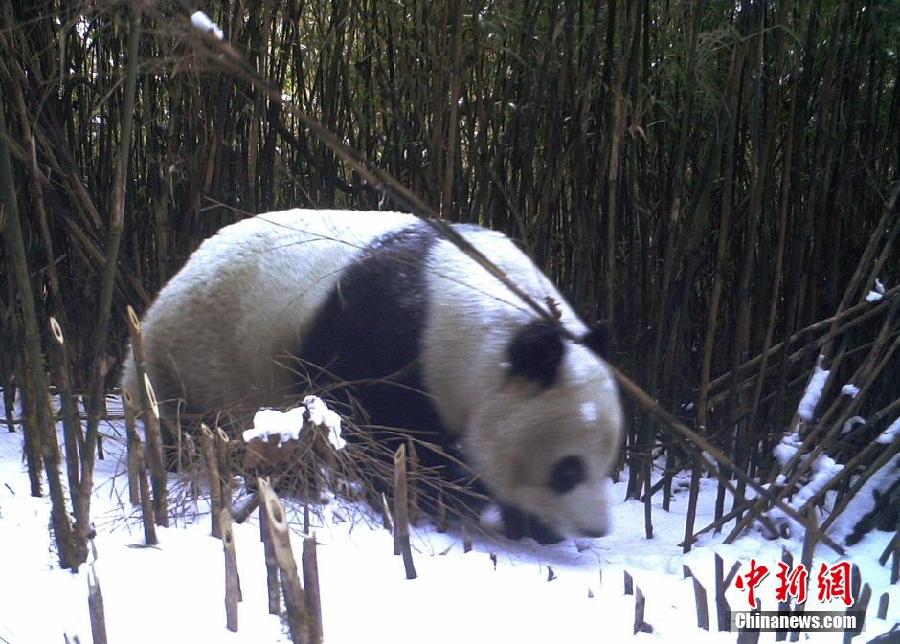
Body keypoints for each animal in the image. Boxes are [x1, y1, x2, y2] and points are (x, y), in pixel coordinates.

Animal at [123, 211, 624, 544]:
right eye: (568, 470)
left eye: (608, 459)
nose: (594, 529)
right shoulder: (387, 344)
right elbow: (387, 437)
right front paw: (446, 502)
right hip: (198, 362)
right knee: (185, 424)